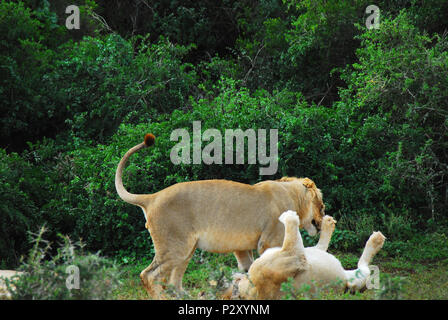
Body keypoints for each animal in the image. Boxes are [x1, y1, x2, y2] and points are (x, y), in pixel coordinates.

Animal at [115, 134, 326, 298]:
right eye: (321, 203)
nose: (324, 216)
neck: (292, 195)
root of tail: (153, 197)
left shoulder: (242, 249)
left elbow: (249, 271)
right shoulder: (270, 241)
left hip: (186, 250)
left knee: (173, 282)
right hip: (175, 248)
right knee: (149, 275)